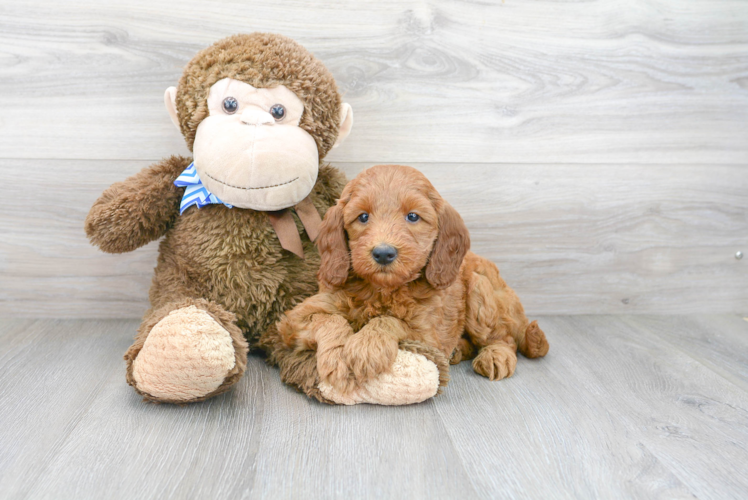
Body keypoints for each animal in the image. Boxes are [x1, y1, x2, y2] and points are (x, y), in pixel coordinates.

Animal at [266, 166, 548, 404]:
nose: (383, 253)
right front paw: (337, 357)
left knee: (504, 337)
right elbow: (330, 319)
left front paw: (366, 347)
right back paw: (459, 350)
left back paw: (495, 355)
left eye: (413, 216)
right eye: (363, 217)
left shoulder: (428, 334)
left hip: (481, 292)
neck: (381, 290)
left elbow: (390, 320)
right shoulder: (294, 319)